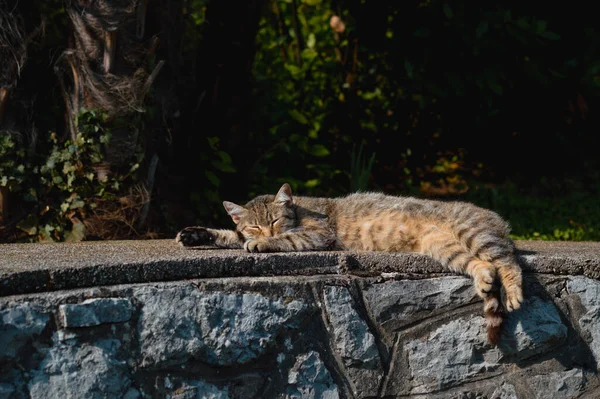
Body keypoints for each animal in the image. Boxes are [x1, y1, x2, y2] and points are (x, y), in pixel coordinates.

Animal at [176, 184, 524, 344]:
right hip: (444, 248)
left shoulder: (318, 235)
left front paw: (265, 244)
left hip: (474, 234)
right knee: (484, 266)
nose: (265, 233)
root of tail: (497, 219)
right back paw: (484, 280)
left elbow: (287, 240)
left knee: (508, 262)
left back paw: (513, 291)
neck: (299, 209)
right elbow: (229, 235)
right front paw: (197, 234)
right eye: (254, 225)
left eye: (274, 221)